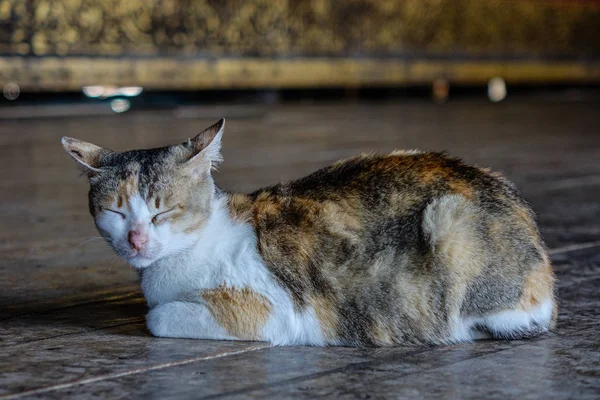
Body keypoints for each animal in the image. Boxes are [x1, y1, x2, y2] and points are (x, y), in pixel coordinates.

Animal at [63, 119, 556, 346]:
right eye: (116, 211)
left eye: (164, 211)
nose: (137, 240)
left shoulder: (273, 307)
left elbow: (158, 317)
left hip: (449, 223)